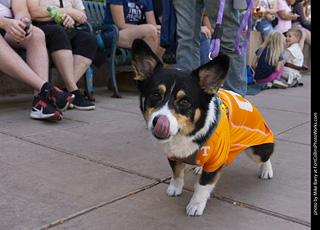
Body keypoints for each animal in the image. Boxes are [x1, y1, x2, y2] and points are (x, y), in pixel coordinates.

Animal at [131, 38, 274, 217]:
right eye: (155, 95)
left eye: (185, 102)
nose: (159, 122)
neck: (186, 134)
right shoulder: (173, 156)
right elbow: (177, 173)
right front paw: (175, 188)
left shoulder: (216, 162)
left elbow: (202, 186)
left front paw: (195, 205)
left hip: (257, 150)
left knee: (265, 157)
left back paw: (267, 170)